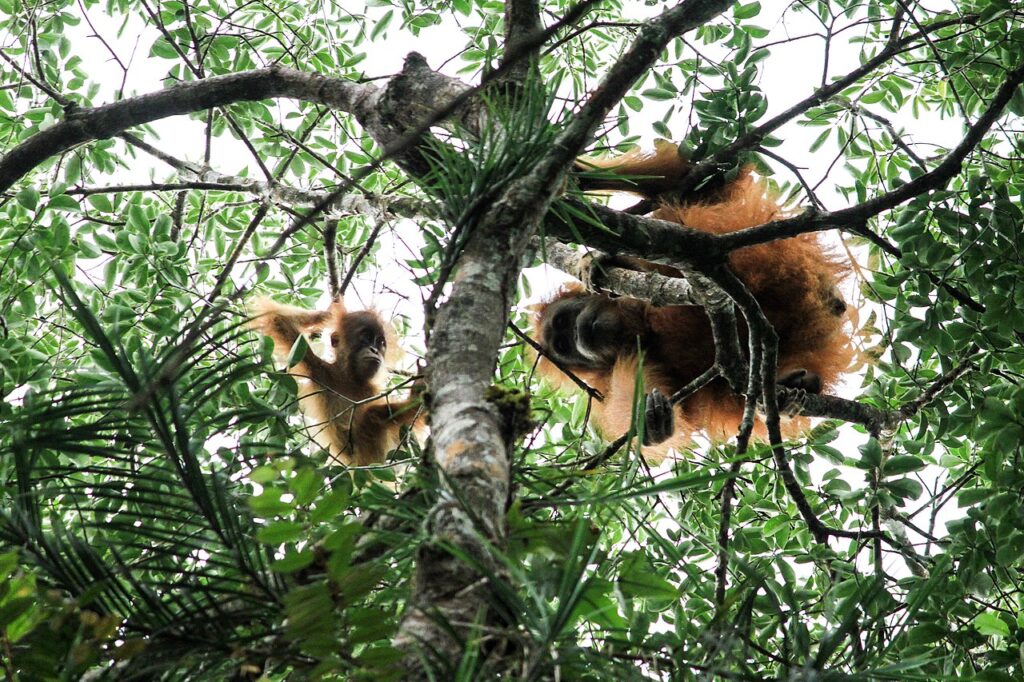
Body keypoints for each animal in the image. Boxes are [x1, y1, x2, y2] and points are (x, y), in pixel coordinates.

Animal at [247, 297, 423, 466]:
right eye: (366, 338)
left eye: (380, 343)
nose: (374, 350)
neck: (350, 379)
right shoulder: (318, 368)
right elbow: (279, 320)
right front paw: (327, 313)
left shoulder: (373, 390)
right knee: (371, 416)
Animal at [534, 143, 855, 453]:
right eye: (563, 345)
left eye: (564, 323)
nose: (578, 334)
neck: (634, 324)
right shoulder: (629, 358)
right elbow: (637, 396)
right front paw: (652, 423)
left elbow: (687, 184)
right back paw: (796, 390)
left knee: (682, 213)